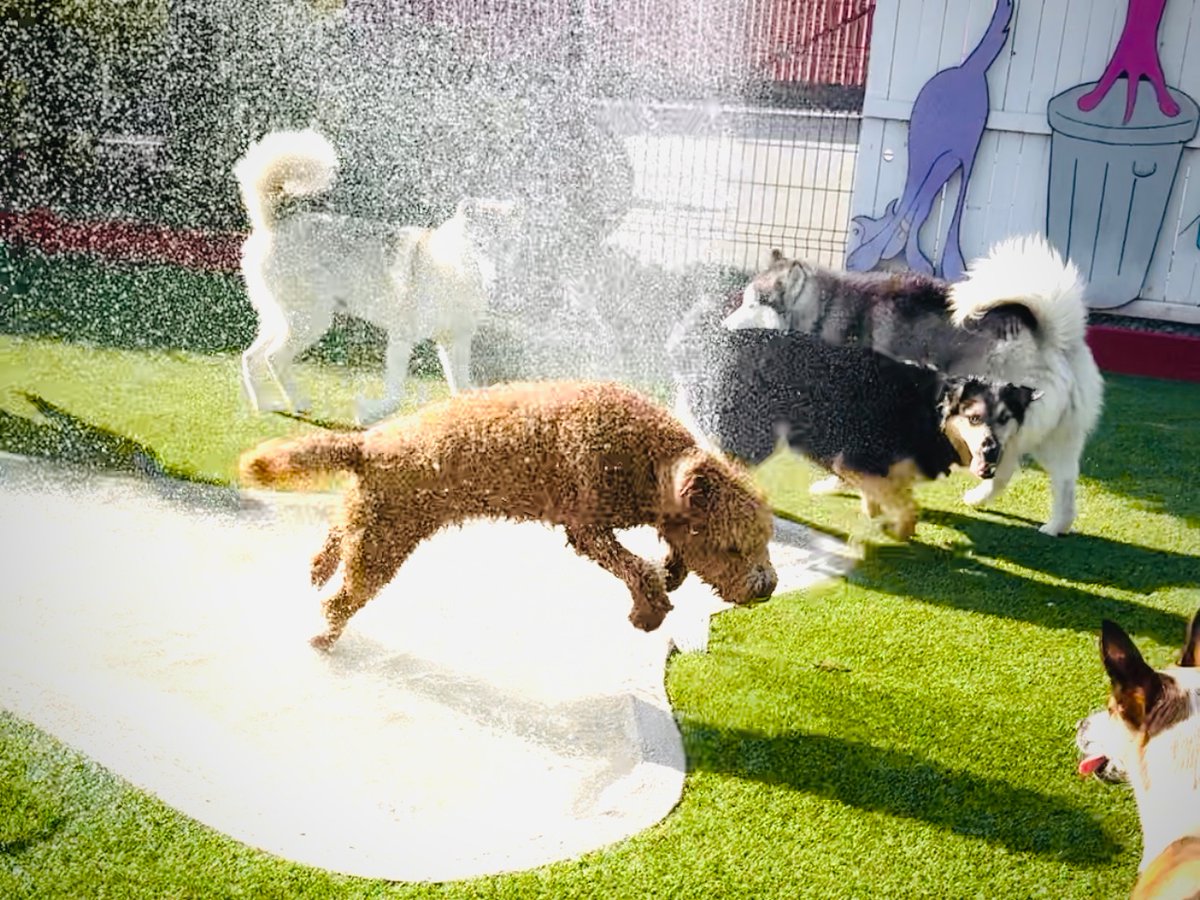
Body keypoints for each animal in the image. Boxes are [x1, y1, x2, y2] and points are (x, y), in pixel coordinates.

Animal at [232, 128, 516, 424]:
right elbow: (395, 396)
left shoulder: (454, 342)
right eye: (481, 245)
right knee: (273, 358)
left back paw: (265, 405)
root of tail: (277, 222)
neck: (453, 270)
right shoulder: (402, 337)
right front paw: (370, 415)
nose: (497, 277)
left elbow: (461, 388)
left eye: (506, 246)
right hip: (311, 321)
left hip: (283, 320)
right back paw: (298, 404)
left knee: (251, 357)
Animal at [238, 379, 777, 648]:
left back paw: (315, 572)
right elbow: (636, 570)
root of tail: (366, 445)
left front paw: (671, 571)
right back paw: (322, 636)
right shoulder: (586, 527)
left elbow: (666, 553)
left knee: (330, 544)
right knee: (341, 600)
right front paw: (650, 610)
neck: (648, 457)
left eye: (764, 540)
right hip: (382, 544)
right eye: (734, 547)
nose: (767, 587)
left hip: (363, 518)